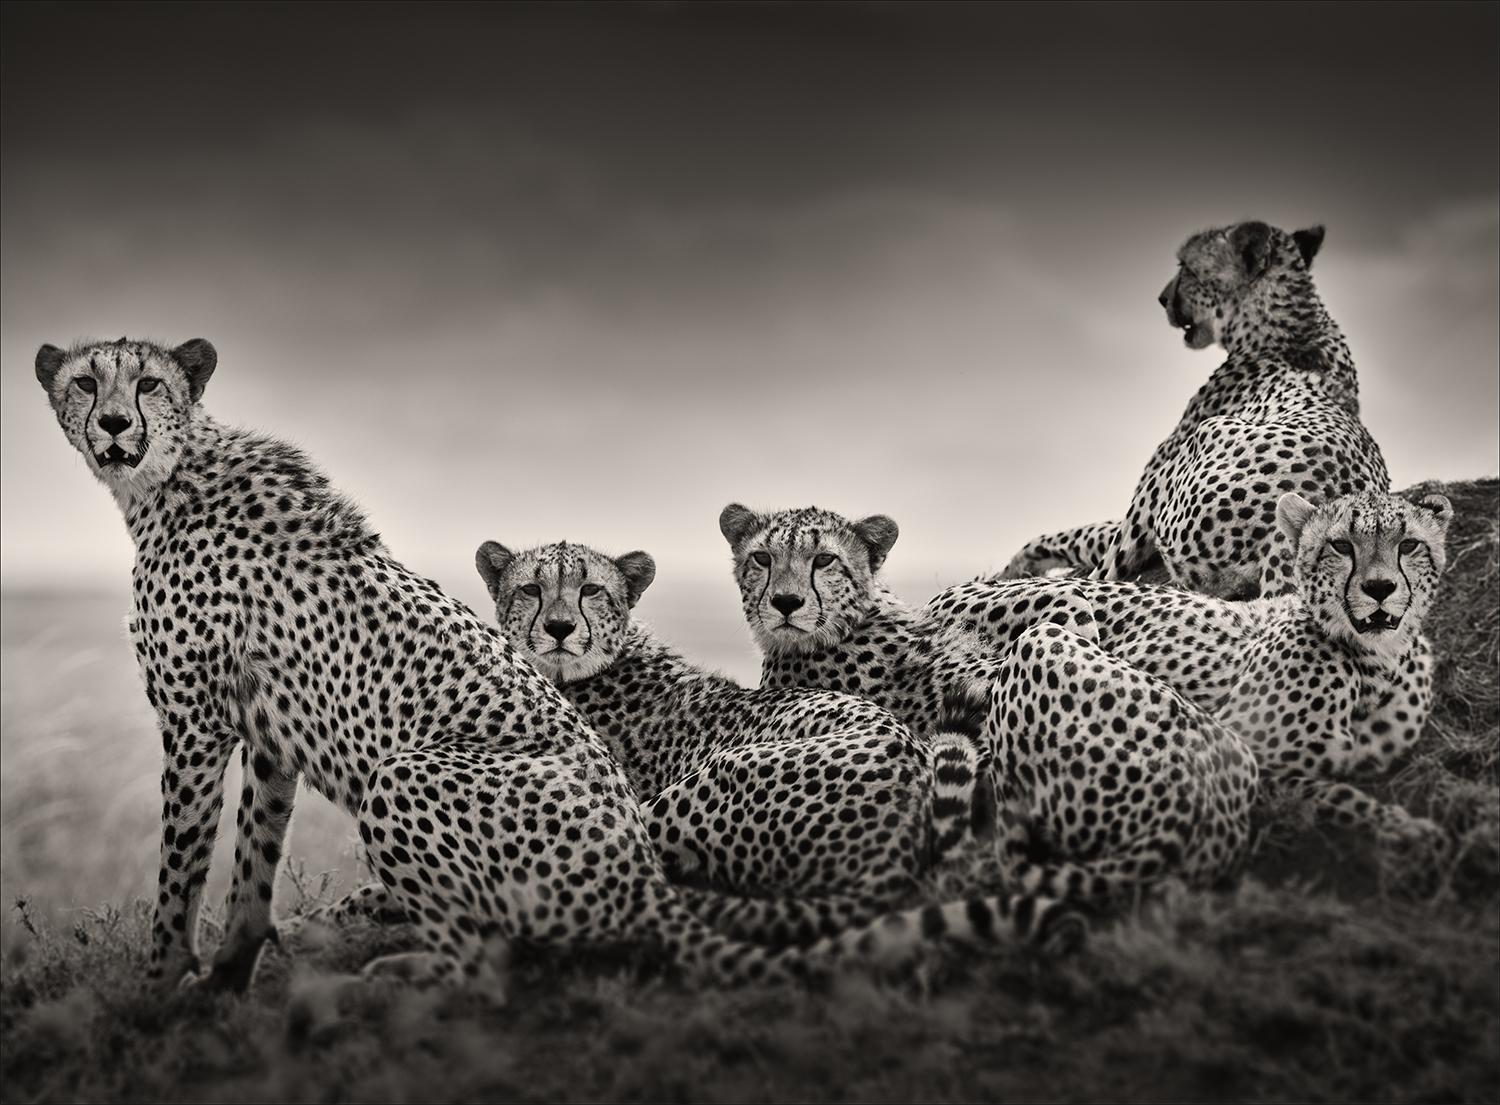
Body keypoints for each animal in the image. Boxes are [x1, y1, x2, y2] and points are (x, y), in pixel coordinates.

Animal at [1002, 221, 1386, 593]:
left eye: (1186, 268)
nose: (1161, 298)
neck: (1294, 326)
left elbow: (1073, 535)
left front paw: (1013, 567)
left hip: (1186, 464)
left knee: (1103, 572)